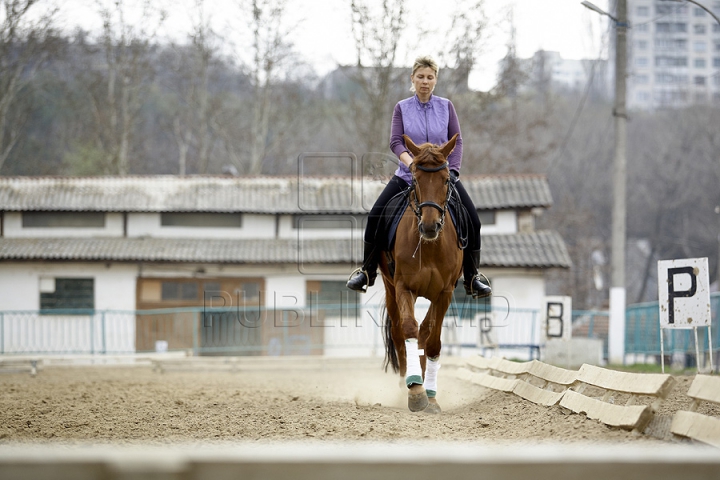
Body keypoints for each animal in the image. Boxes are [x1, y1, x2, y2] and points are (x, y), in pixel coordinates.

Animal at [380, 133, 464, 414]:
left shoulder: (445, 292)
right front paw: (416, 391)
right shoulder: (403, 287)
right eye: (415, 179)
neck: (430, 246)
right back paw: (408, 381)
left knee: (424, 333)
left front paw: (431, 396)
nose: (429, 226)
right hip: (389, 287)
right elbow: (408, 329)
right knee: (400, 332)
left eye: (447, 179)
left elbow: (433, 341)